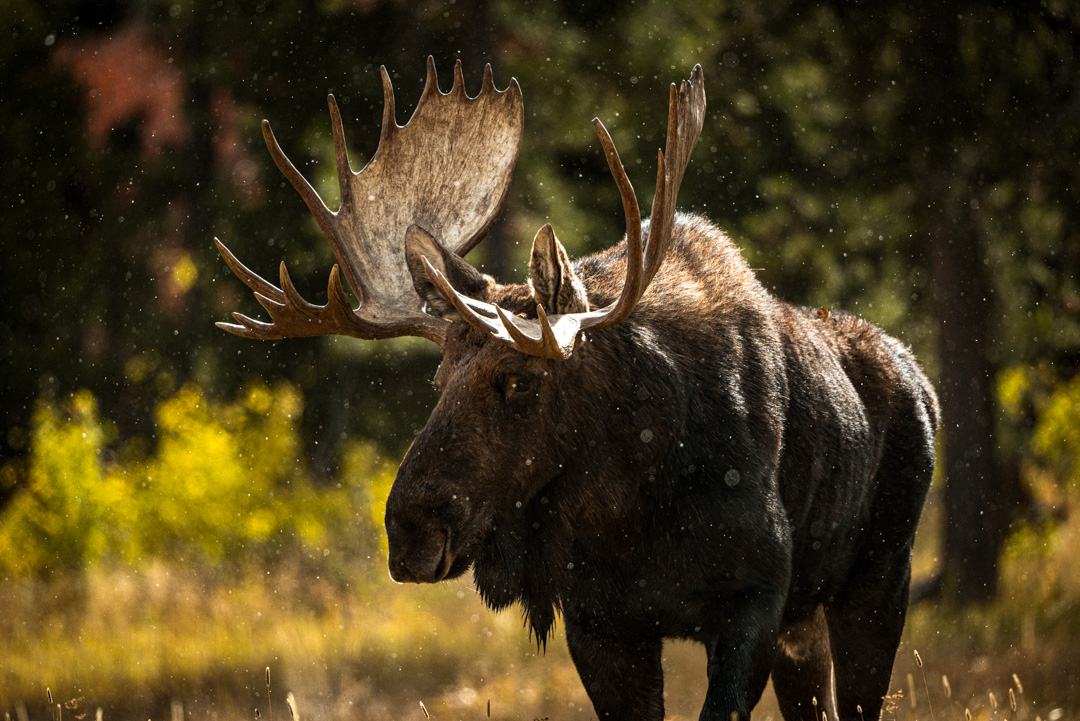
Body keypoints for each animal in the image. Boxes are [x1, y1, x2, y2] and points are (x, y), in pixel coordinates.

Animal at [217, 62, 937, 721]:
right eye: (438, 379)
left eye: (520, 379)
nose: (408, 527)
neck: (637, 504)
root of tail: (922, 381)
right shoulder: (600, 623)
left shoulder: (754, 602)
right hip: (808, 621)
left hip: (880, 580)